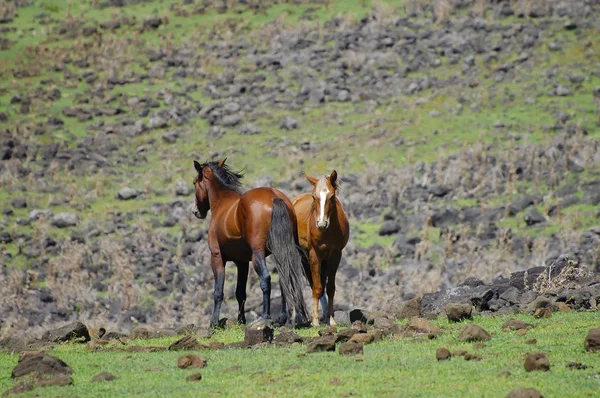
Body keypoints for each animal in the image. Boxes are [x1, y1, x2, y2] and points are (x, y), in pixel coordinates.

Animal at [192, 157, 308, 328]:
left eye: (195, 182)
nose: (195, 211)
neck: (222, 203)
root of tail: (274, 197)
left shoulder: (217, 257)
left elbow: (218, 292)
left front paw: (214, 323)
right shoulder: (242, 262)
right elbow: (240, 292)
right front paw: (241, 320)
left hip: (257, 254)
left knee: (266, 279)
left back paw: (266, 316)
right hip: (281, 250)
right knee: (284, 278)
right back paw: (284, 318)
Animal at [292, 171, 350, 326]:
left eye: (332, 196)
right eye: (314, 196)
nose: (322, 224)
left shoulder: (335, 255)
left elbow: (330, 288)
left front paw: (331, 319)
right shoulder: (314, 255)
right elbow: (317, 288)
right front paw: (315, 321)